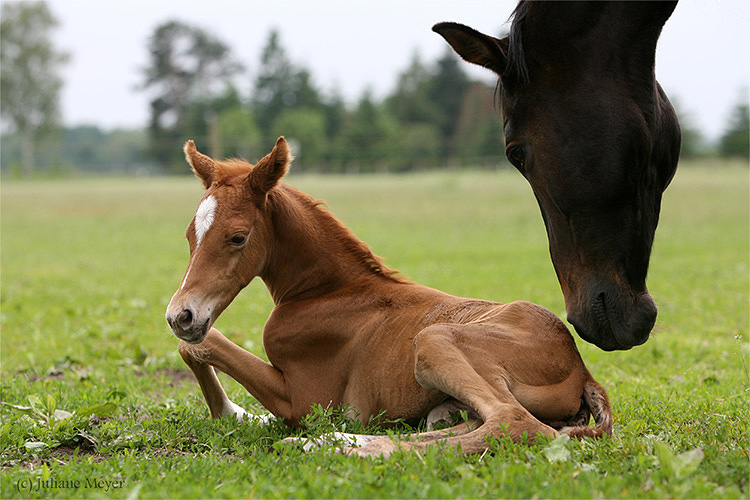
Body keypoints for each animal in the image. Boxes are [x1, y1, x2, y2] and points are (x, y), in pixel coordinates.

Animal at [166, 138, 612, 458]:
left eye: (237, 237)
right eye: (189, 235)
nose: (180, 316)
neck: (328, 291)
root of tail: (581, 366)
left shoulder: (303, 401)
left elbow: (204, 345)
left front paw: (234, 413)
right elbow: (196, 349)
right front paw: (243, 415)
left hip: (433, 340)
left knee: (514, 424)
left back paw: (326, 444)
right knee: (462, 425)